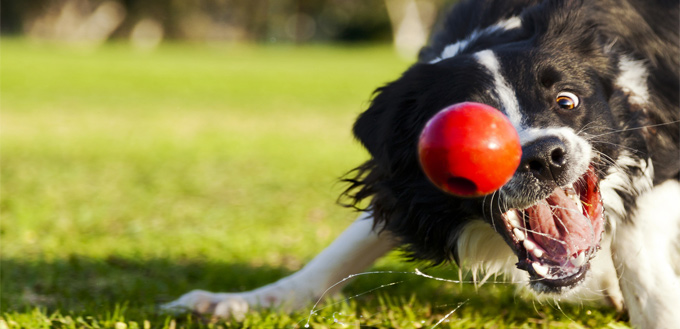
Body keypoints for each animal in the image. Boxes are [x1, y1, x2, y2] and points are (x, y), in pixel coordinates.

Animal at [166, 1, 680, 326]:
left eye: (566, 101)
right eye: (468, 134)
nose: (544, 156)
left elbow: (635, 245)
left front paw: (656, 311)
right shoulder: (399, 176)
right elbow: (350, 244)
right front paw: (243, 302)